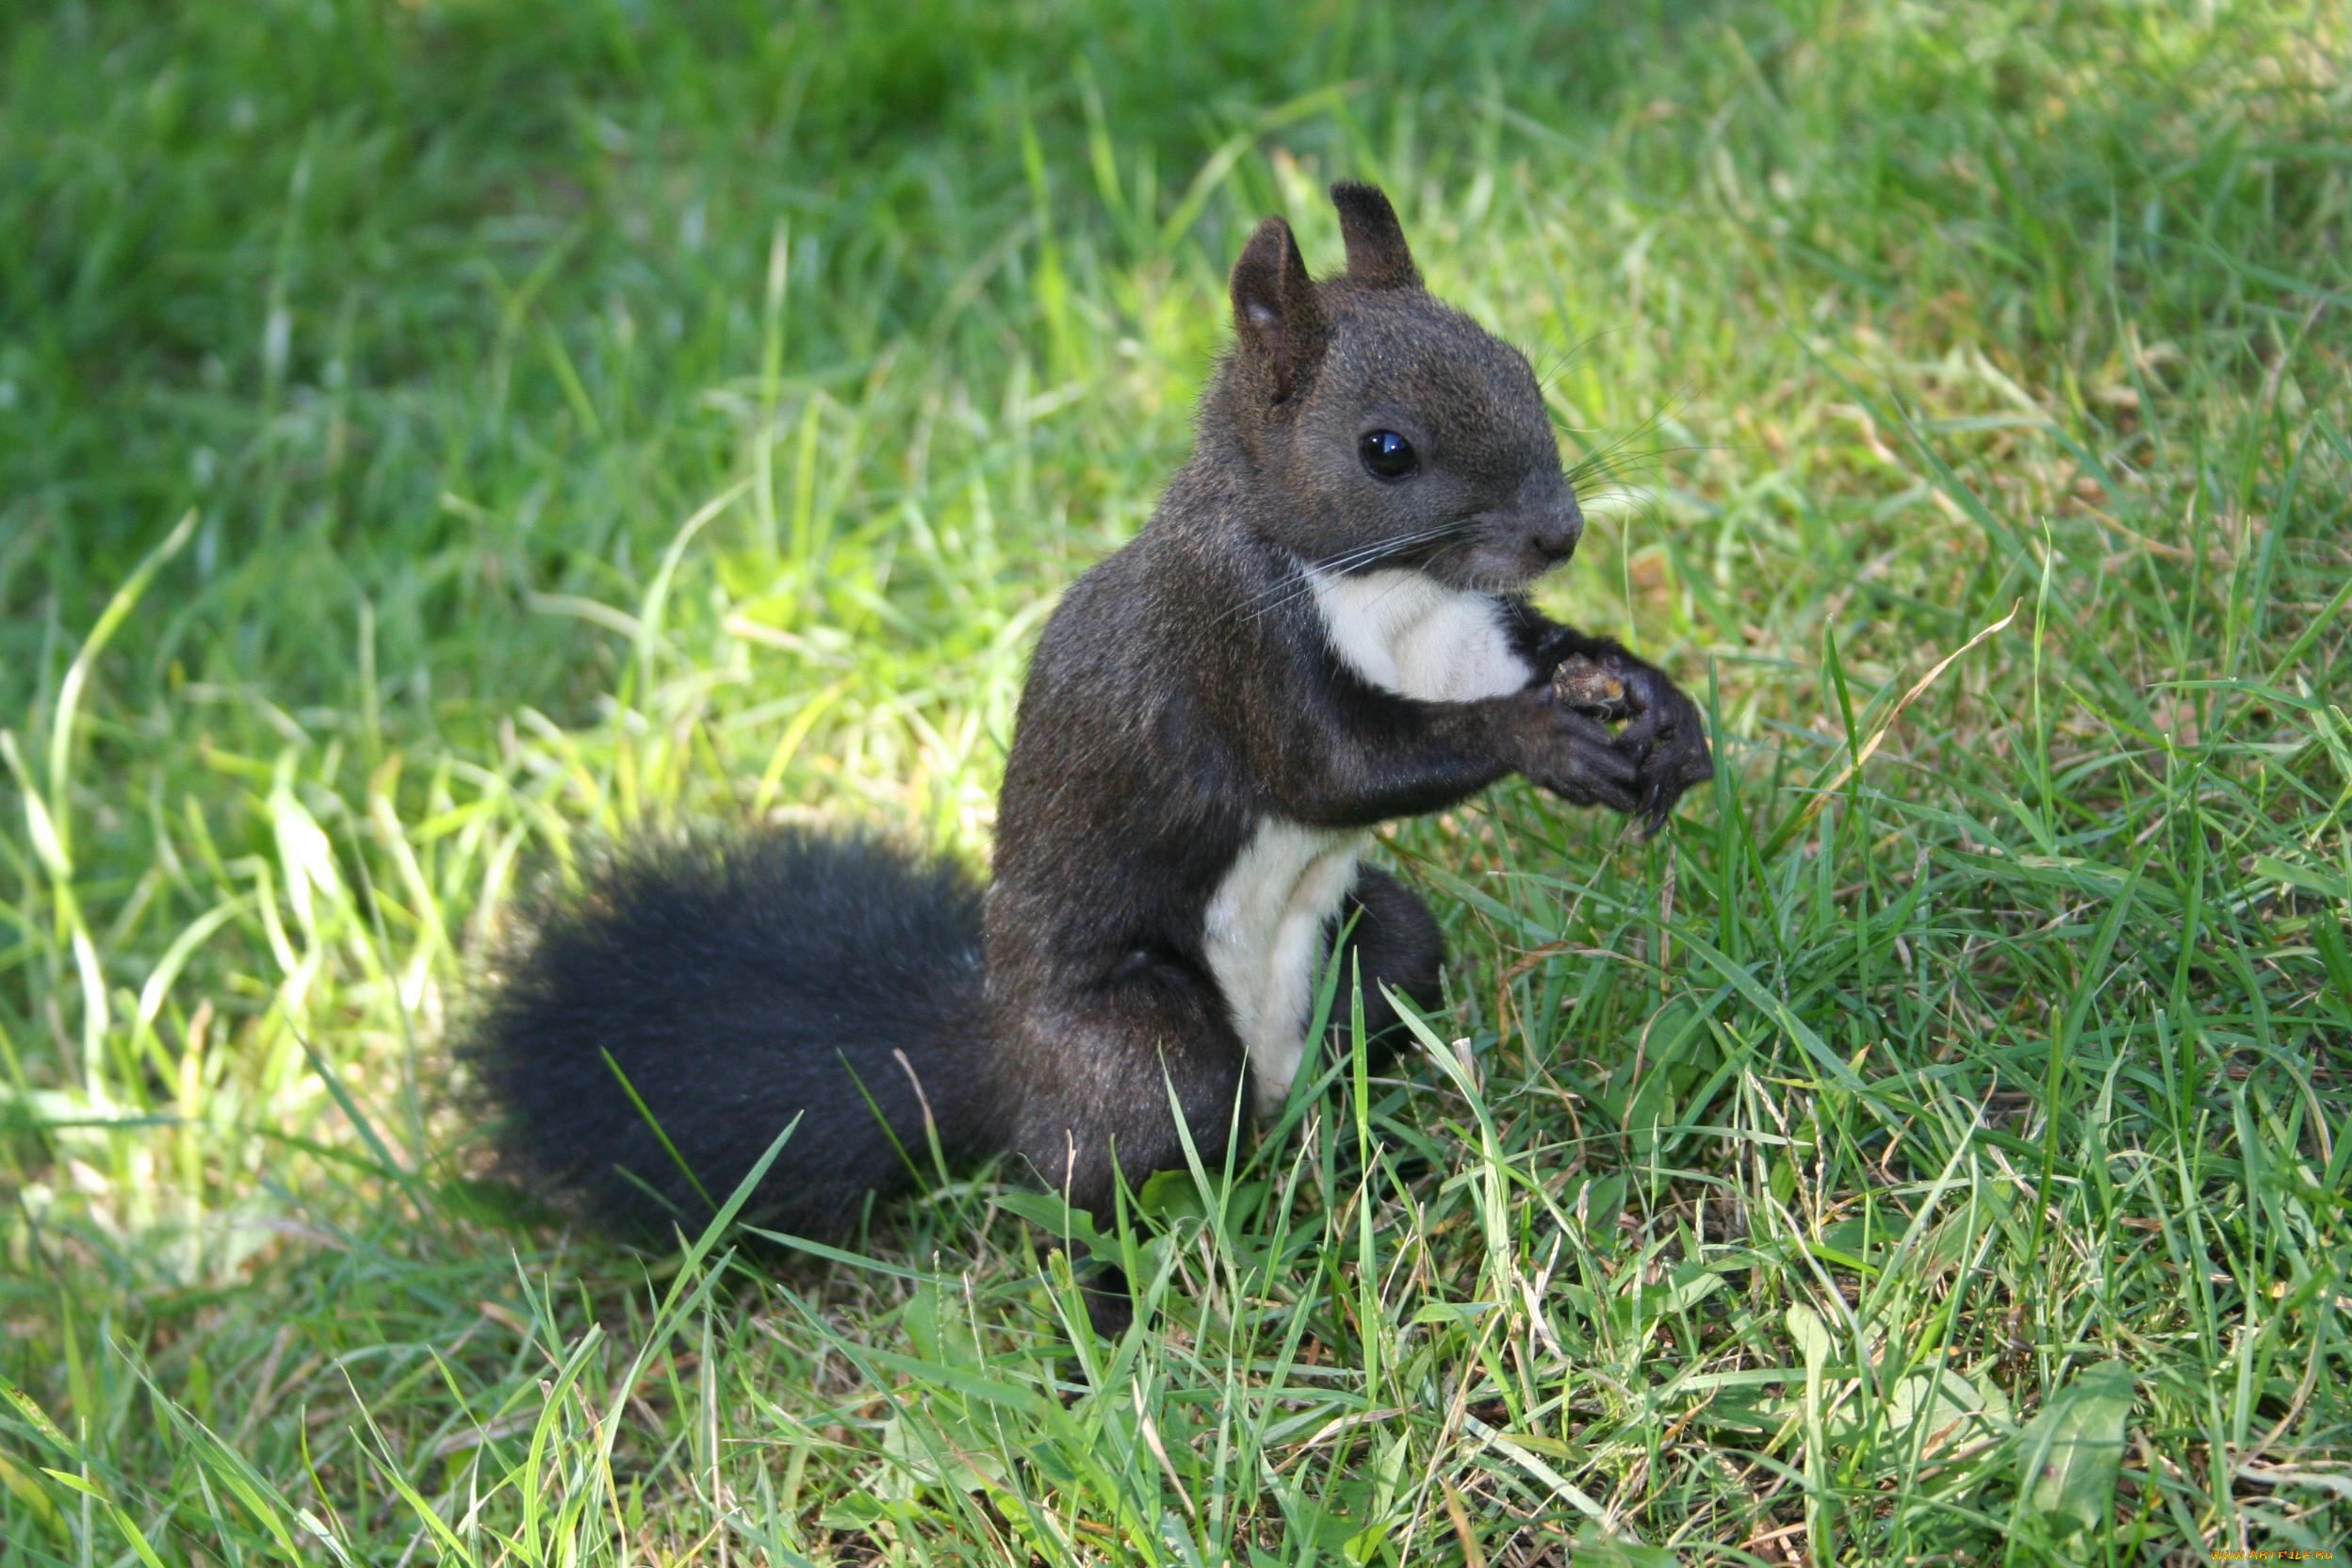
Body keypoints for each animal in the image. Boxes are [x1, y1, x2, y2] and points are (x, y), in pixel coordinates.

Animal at [463, 187, 1712, 1335]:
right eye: (1386, 450)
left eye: (1520, 364)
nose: (1559, 531)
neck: (1392, 595)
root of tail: (1005, 1061)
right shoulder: (1233, 648)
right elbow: (1340, 768)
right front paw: (1540, 736)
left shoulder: (1472, 636)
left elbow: (1533, 659)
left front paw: (1654, 698)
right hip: (1138, 1049)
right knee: (1096, 1182)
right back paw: (1115, 1318)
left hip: (1375, 953)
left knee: (1364, 1014)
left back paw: (1384, 1169)